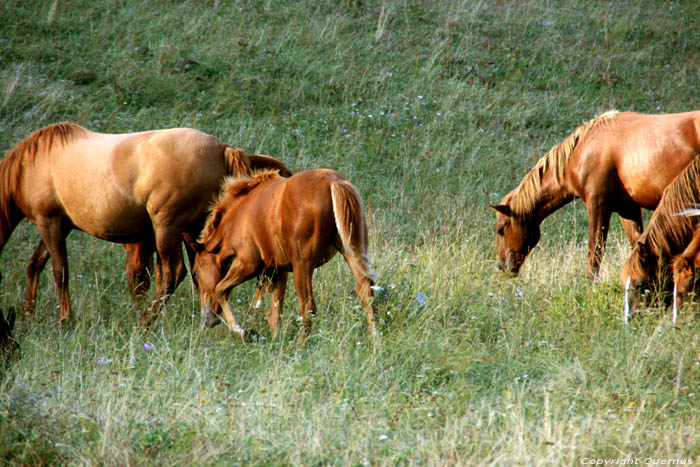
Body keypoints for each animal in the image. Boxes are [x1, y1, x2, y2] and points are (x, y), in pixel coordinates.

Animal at [0, 121, 290, 326]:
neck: (30, 165)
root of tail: (222, 150)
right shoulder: (59, 225)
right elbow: (36, 265)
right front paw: (28, 313)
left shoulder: (49, 222)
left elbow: (59, 272)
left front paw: (64, 320)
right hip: (194, 232)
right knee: (201, 275)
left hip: (167, 228)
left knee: (174, 273)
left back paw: (145, 322)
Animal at [182, 168, 378, 340]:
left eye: (196, 272)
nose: (207, 319)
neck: (240, 216)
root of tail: (333, 181)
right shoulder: (278, 270)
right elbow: (275, 314)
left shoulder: (247, 264)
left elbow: (220, 289)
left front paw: (242, 332)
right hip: (351, 251)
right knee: (365, 291)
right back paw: (375, 341)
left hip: (303, 266)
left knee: (307, 309)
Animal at [490, 109, 700, 278]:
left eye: (500, 229)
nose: (501, 267)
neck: (582, 149)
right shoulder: (627, 209)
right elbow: (636, 245)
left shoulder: (598, 204)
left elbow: (595, 252)